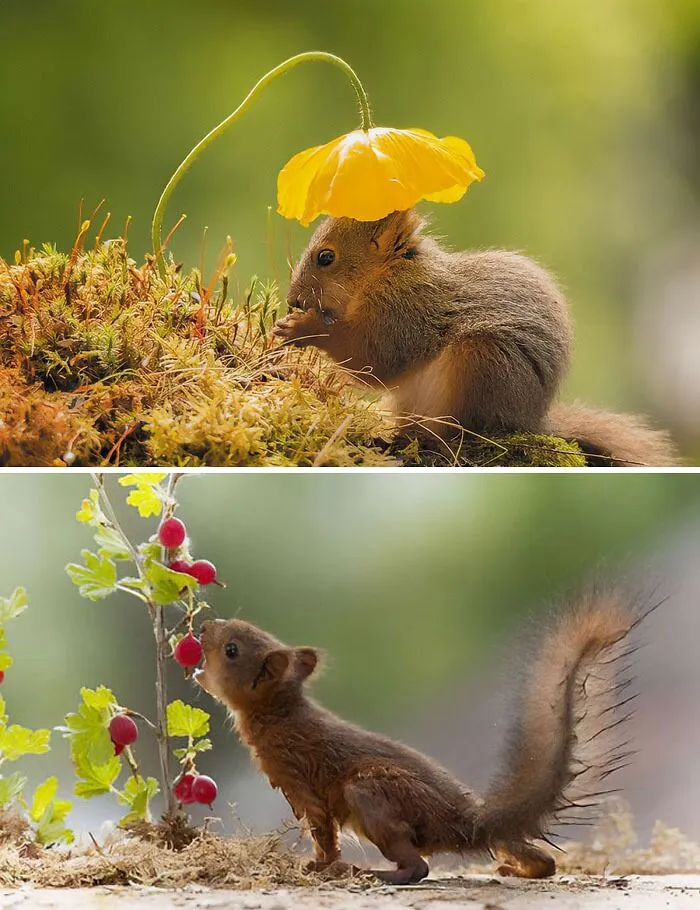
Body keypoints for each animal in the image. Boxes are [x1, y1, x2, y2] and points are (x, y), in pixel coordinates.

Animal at [196, 590, 656, 884]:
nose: (203, 626)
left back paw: (370, 873)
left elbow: (324, 834)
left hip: (370, 791)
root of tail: (466, 822)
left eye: (233, 649)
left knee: (418, 868)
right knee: (541, 860)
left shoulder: (302, 781)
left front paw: (319, 867)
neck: (281, 714)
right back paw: (519, 868)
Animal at [272, 210, 678, 466]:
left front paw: (304, 327)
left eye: (326, 257)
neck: (387, 273)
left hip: (482, 363)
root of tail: (531, 419)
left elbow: (376, 357)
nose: (293, 299)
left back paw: (436, 439)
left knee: (467, 432)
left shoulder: (409, 311)